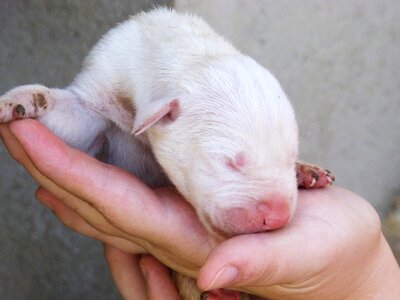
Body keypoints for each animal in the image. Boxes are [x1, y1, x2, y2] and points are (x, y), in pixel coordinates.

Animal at [0, 8, 334, 298]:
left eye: (288, 157)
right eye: (230, 163)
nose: (277, 217)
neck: (193, 54)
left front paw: (301, 169)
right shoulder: (100, 90)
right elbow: (72, 118)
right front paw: (20, 101)